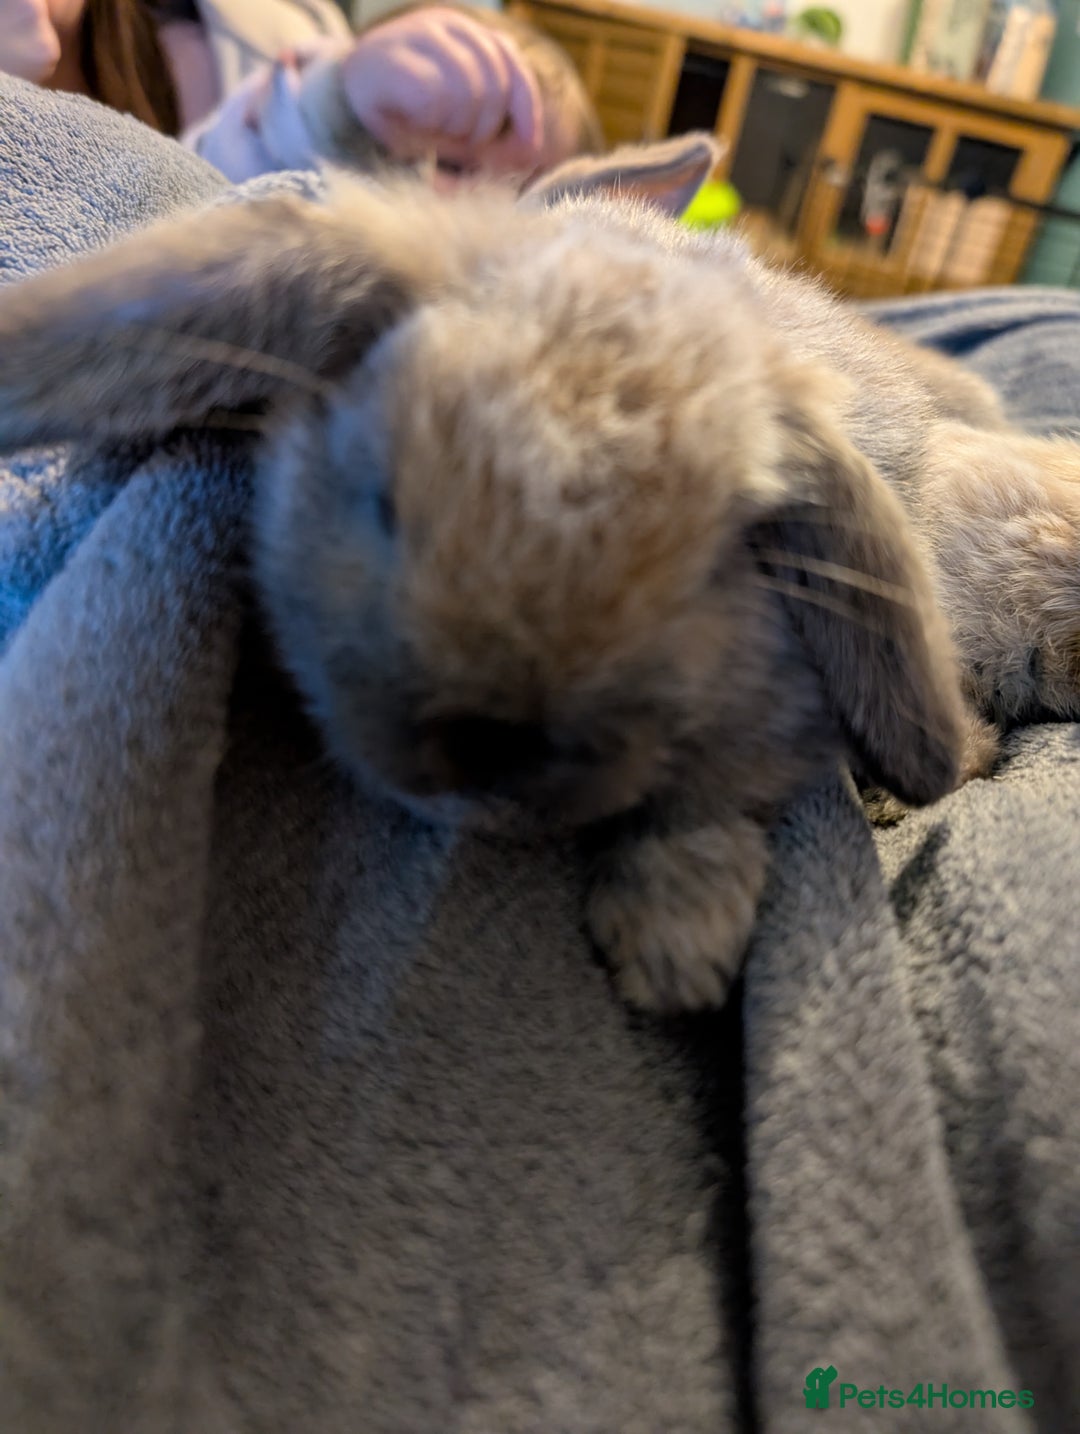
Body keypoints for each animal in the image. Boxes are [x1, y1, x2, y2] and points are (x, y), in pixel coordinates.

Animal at [0, 132, 1068, 1013]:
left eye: (685, 579)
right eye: (385, 498)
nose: (485, 752)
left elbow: (729, 785)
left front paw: (675, 946)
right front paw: (678, 941)